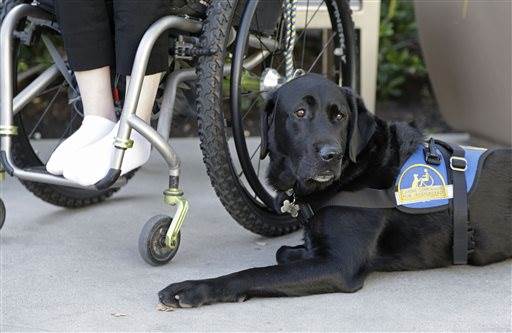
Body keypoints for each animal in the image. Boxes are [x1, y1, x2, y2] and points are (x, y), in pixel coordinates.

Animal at [158, 74, 510, 308]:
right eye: (300, 113)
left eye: (340, 115)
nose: (332, 155)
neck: (356, 171)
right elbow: (283, 251)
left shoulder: (338, 266)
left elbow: (256, 272)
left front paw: (193, 289)